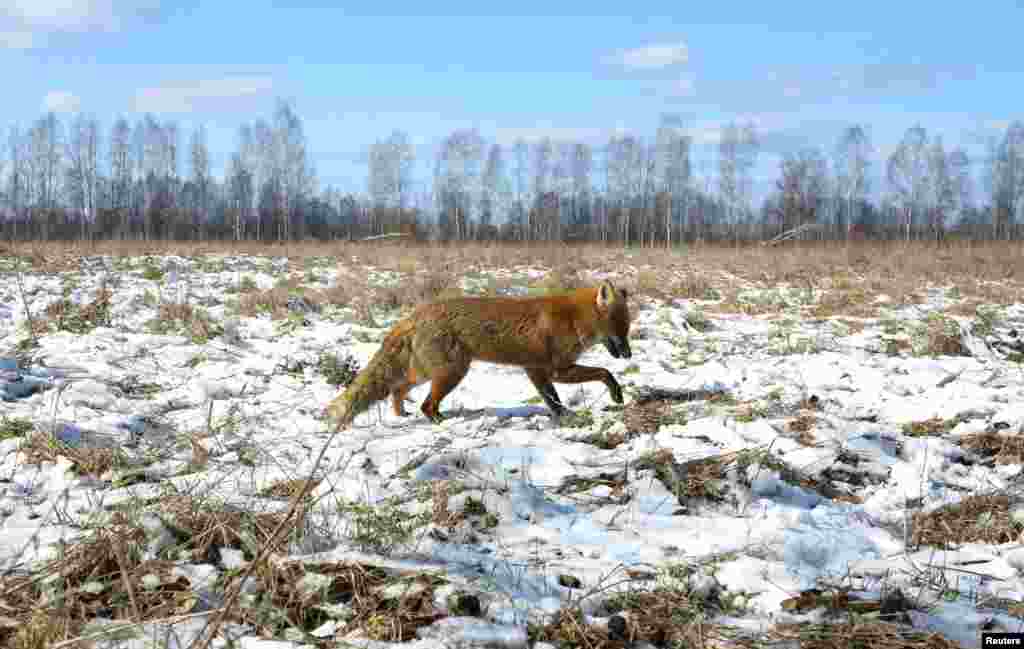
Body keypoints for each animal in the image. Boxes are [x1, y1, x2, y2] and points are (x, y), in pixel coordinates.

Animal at [327, 278, 630, 427]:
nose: (628, 354)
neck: (573, 318)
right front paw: (615, 395)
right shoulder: (555, 369)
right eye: (621, 329)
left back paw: (402, 414)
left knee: (397, 390)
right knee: (426, 405)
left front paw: (562, 415)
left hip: (426, 372)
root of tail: (416, 314)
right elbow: (604, 372)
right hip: (451, 373)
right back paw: (441, 422)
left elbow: (551, 398)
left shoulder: (535, 369)